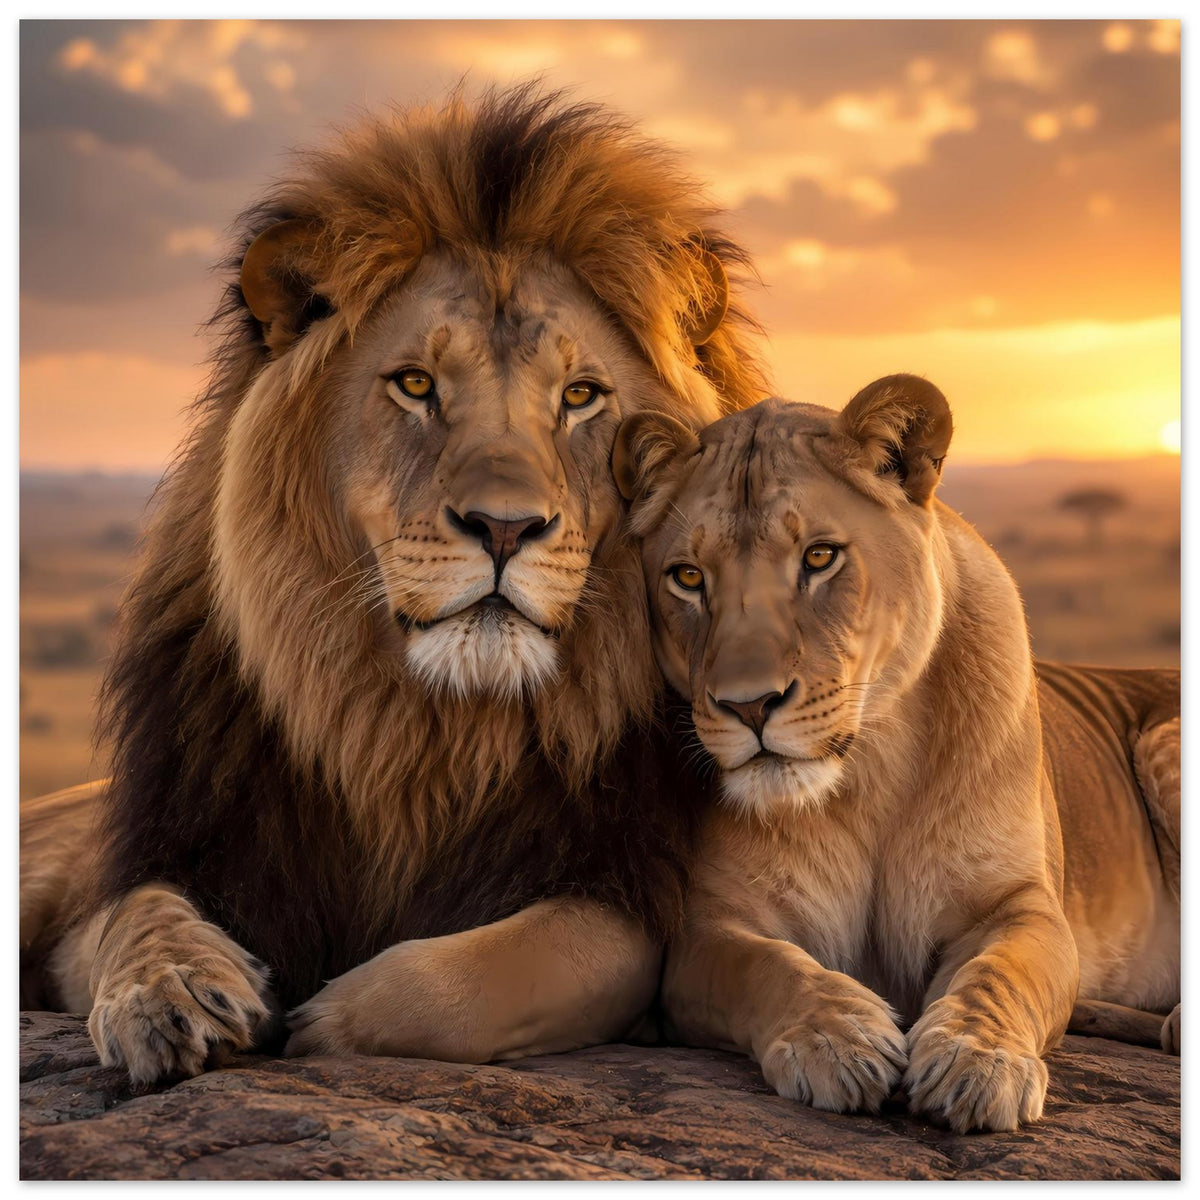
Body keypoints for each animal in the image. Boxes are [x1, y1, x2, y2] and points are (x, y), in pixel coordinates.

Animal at [18, 85, 770, 1087]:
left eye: (580, 397)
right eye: (416, 385)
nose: (505, 527)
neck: (420, 736)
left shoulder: (624, 896)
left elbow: (481, 975)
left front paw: (320, 1020)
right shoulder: (168, 851)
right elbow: (131, 916)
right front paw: (170, 994)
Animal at [612, 377, 1179, 1133]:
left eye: (820, 557)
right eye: (687, 577)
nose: (749, 705)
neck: (868, 773)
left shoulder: (1021, 905)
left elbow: (999, 973)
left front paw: (976, 1060)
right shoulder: (707, 930)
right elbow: (769, 967)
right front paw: (838, 1039)